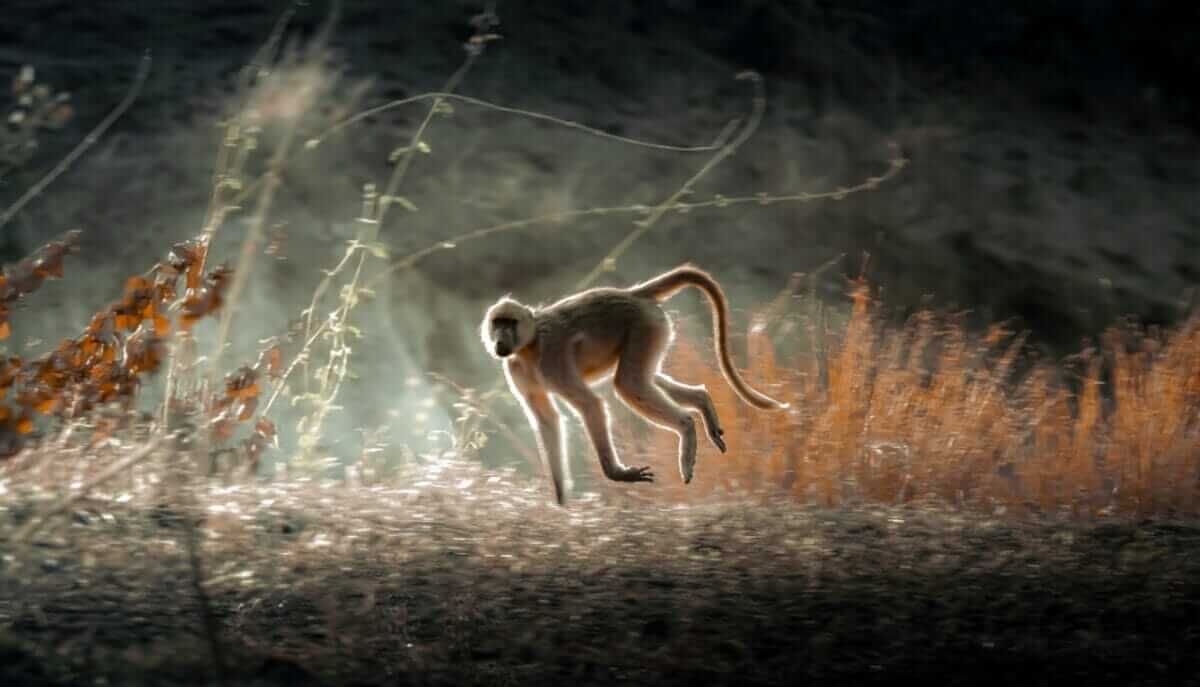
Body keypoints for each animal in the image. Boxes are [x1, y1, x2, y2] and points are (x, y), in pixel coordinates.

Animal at [481, 264, 789, 506]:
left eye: (510, 323)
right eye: (497, 323)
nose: (500, 339)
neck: (529, 347)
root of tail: (632, 293)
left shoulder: (553, 361)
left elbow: (590, 405)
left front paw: (616, 474)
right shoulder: (515, 369)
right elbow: (547, 421)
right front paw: (559, 500)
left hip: (645, 325)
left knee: (629, 384)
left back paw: (687, 427)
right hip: (652, 330)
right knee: (647, 378)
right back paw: (701, 402)